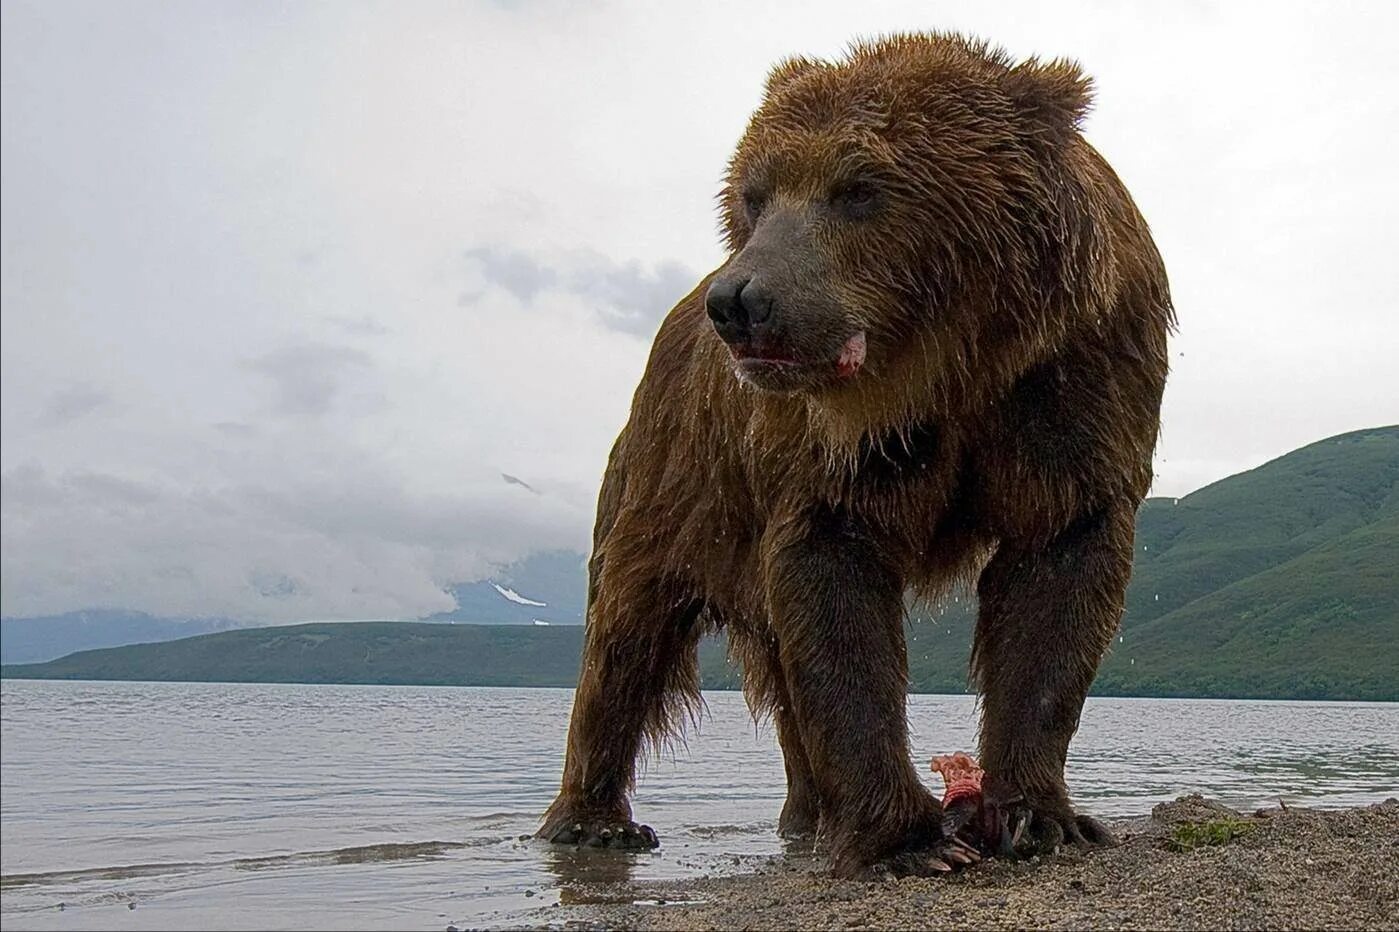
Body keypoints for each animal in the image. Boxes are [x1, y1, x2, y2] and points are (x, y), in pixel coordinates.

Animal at [534, 32, 1169, 873]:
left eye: (859, 187)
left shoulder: (1074, 384)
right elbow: (838, 597)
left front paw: (1038, 816)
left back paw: (807, 815)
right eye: (754, 194)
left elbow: (1056, 578)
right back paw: (593, 819)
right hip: (675, 478)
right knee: (626, 633)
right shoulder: (828, 450)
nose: (740, 301)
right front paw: (912, 839)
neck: (957, 363)